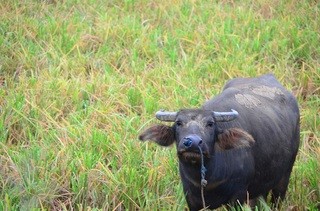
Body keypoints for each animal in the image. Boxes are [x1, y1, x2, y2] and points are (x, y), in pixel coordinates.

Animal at [138, 74, 300, 209]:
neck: (208, 180)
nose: (192, 142)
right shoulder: (191, 197)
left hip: (284, 177)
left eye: (210, 124)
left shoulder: (238, 196)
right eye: (178, 123)